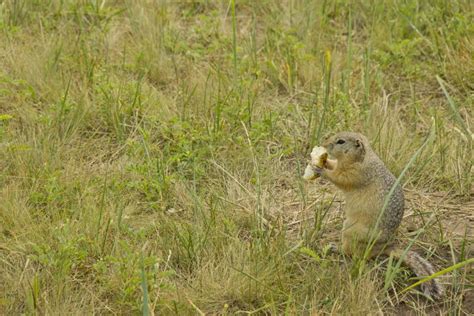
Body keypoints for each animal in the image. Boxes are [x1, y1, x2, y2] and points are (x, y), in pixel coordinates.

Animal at [314, 132, 444, 300]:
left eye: (340, 141)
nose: (323, 144)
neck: (362, 157)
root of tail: (384, 248)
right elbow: (333, 166)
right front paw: (323, 161)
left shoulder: (356, 173)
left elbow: (339, 178)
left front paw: (321, 170)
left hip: (350, 231)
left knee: (352, 253)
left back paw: (336, 248)